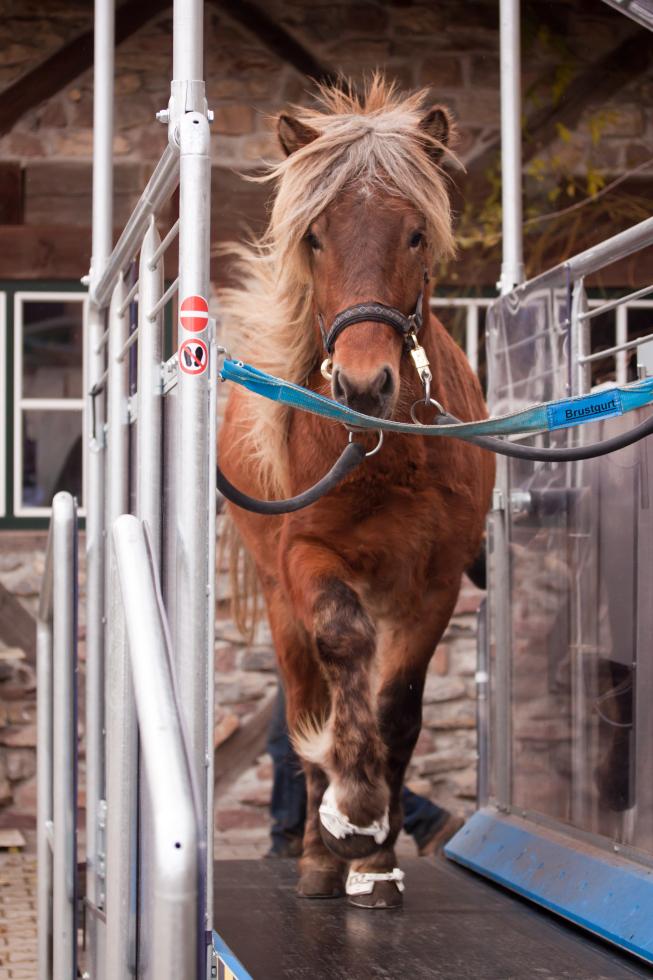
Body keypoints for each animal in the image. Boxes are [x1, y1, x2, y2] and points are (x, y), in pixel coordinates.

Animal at [219, 75, 495, 909]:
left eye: (414, 235)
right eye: (314, 236)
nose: (363, 384)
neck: (386, 452)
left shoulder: (434, 582)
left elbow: (397, 706)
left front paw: (376, 857)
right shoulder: (307, 558)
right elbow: (341, 649)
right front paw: (355, 813)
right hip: (279, 600)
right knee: (307, 701)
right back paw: (316, 855)